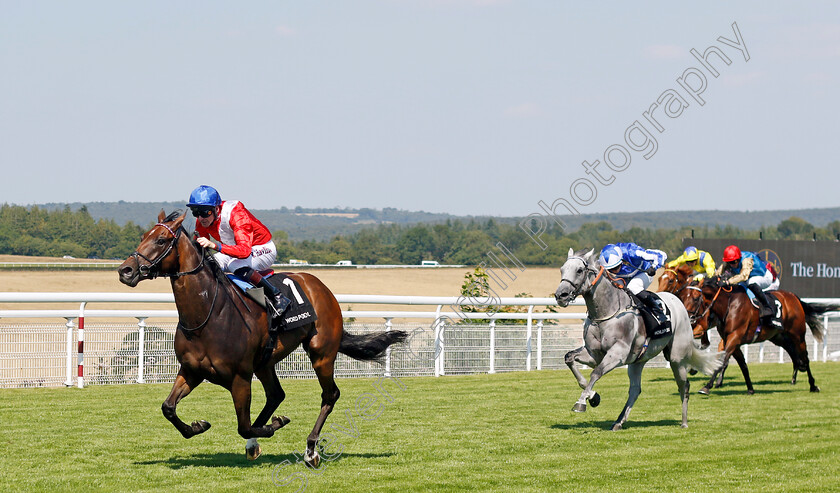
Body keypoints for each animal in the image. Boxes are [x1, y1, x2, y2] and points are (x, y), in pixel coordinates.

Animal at [118, 211, 406, 466]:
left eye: (161, 240)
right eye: (143, 236)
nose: (125, 270)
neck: (208, 314)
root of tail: (321, 287)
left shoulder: (239, 377)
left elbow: (243, 426)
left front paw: (274, 425)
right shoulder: (192, 370)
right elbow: (168, 407)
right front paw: (198, 426)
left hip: (321, 353)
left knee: (329, 394)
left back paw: (311, 450)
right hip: (265, 362)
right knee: (276, 394)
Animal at [552, 248, 720, 428]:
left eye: (579, 270)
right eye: (562, 269)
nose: (561, 295)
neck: (605, 314)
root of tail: (677, 300)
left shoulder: (618, 354)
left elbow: (596, 373)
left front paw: (582, 402)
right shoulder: (594, 354)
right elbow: (569, 358)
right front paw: (593, 396)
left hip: (676, 357)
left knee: (684, 385)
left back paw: (684, 422)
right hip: (637, 362)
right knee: (635, 389)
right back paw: (618, 422)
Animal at [680, 276, 836, 396]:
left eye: (695, 298)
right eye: (682, 296)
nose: (685, 317)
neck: (729, 306)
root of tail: (794, 297)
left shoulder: (734, 337)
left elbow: (723, 361)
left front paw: (707, 386)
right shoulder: (730, 339)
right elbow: (742, 364)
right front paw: (750, 389)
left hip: (797, 334)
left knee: (805, 357)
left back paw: (813, 385)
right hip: (778, 336)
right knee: (794, 354)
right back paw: (796, 375)